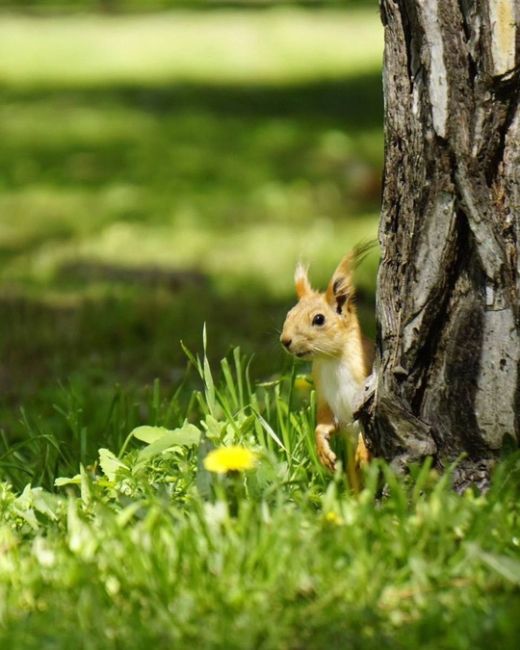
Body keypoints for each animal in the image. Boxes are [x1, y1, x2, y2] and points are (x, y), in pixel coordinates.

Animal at [280, 246, 374, 488]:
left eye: (319, 319)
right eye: (289, 314)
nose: (285, 341)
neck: (332, 361)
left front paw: (363, 449)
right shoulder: (324, 394)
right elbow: (323, 423)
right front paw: (322, 449)